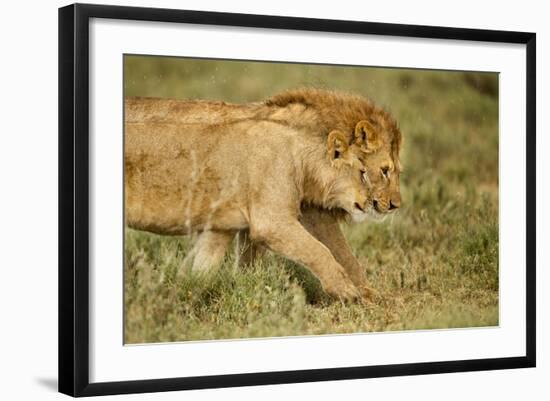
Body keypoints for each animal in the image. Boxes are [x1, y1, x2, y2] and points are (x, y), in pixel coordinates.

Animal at [125, 88, 404, 300]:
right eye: (384, 171)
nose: (395, 205)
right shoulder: (277, 220)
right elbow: (328, 251)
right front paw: (355, 294)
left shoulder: (227, 225)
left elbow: (209, 268)